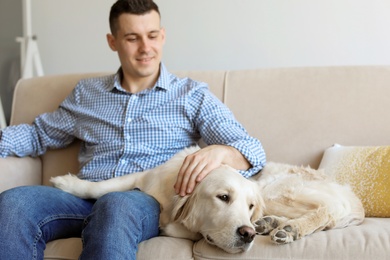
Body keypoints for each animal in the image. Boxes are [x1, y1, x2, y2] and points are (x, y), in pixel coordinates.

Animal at [50, 146, 364, 252]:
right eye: (223, 197)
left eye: (249, 206)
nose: (248, 233)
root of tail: (355, 202)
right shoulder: (145, 177)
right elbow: (102, 187)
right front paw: (69, 183)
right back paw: (271, 224)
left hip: (276, 189)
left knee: (327, 211)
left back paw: (288, 229)